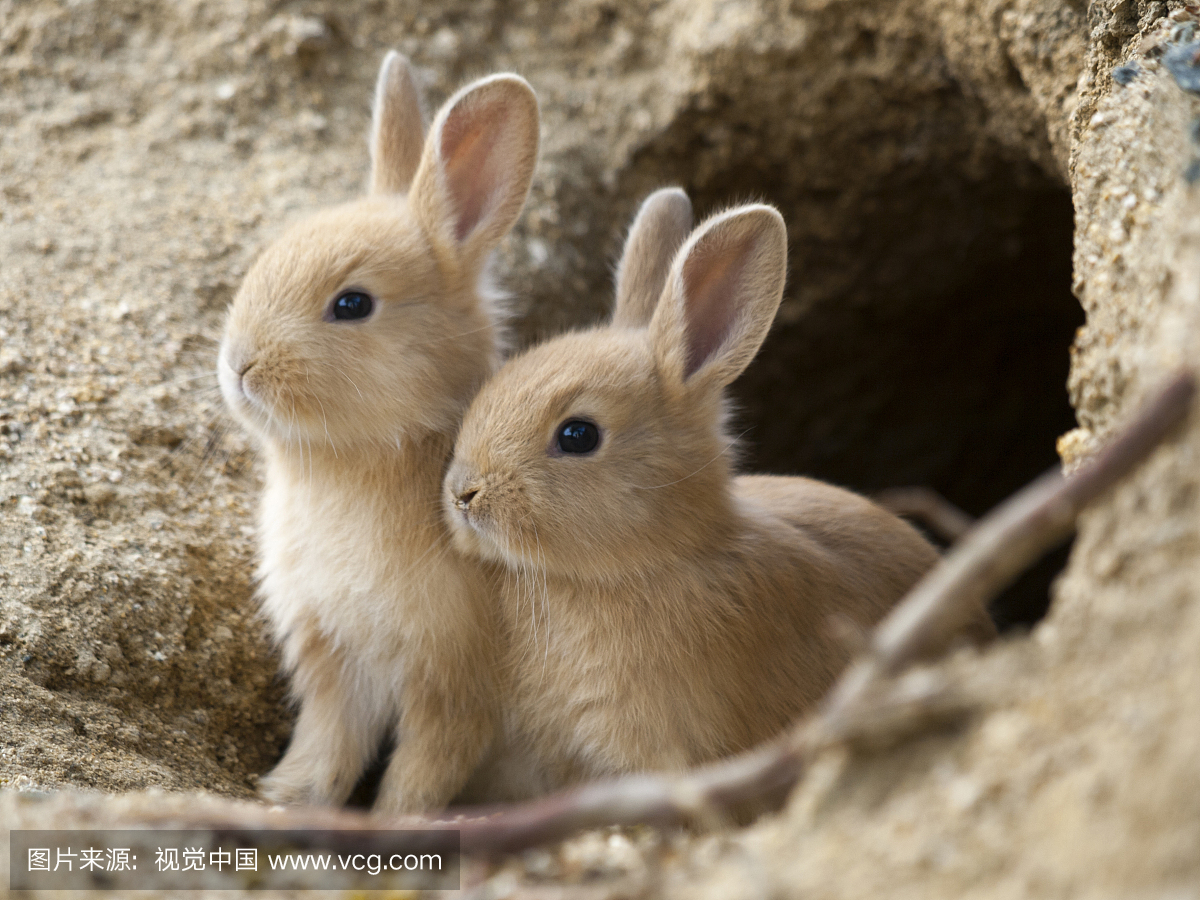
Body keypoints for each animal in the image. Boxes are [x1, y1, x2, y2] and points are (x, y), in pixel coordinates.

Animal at [219, 56, 540, 816]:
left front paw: (396, 819)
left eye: (352, 303)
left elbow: (423, 766)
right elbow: (328, 742)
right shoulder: (334, 658)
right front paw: (284, 795)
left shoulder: (454, 686)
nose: (239, 365)